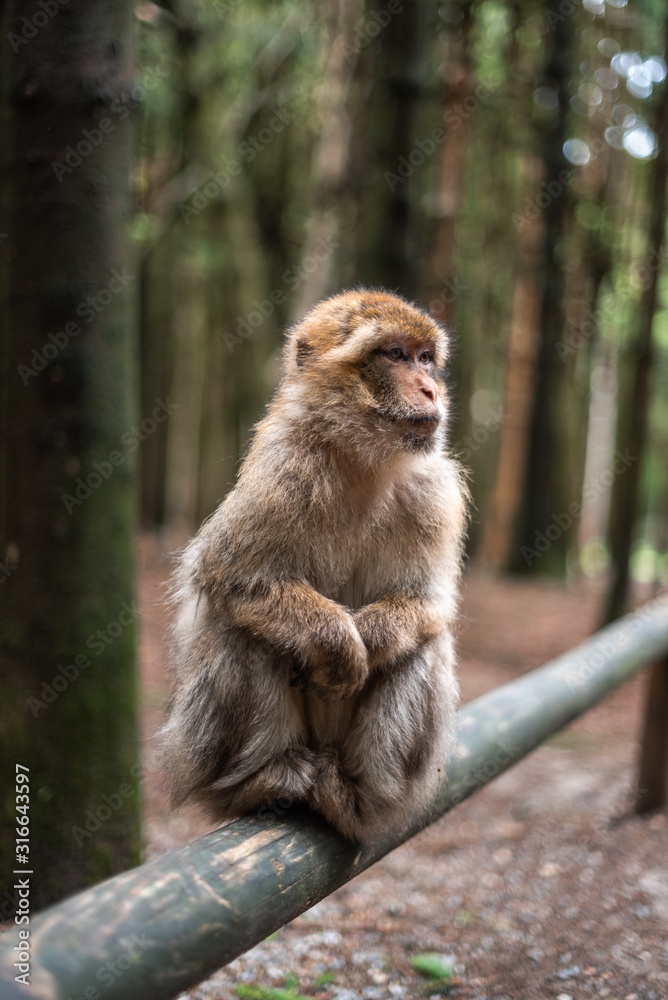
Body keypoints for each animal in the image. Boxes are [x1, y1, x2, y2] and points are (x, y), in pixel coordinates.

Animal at [160, 290, 470, 844]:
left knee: (424, 645)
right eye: (394, 354)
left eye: (425, 358)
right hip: (199, 753)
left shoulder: (434, 491)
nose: (431, 389)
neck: (362, 460)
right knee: (242, 629)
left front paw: (371, 638)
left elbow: (428, 602)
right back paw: (259, 782)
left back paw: (362, 799)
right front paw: (340, 644)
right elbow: (231, 576)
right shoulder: (283, 470)